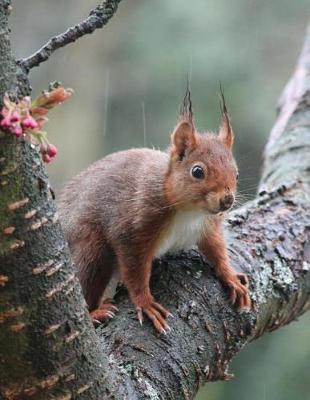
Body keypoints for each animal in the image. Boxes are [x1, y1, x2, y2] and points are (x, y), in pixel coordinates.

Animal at [58, 89, 252, 332]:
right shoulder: (134, 226)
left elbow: (216, 250)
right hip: (89, 249)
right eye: (197, 171)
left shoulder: (208, 227)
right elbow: (135, 270)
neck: (190, 212)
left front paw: (231, 277)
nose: (227, 200)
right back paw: (95, 313)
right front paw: (146, 303)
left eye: (236, 173)